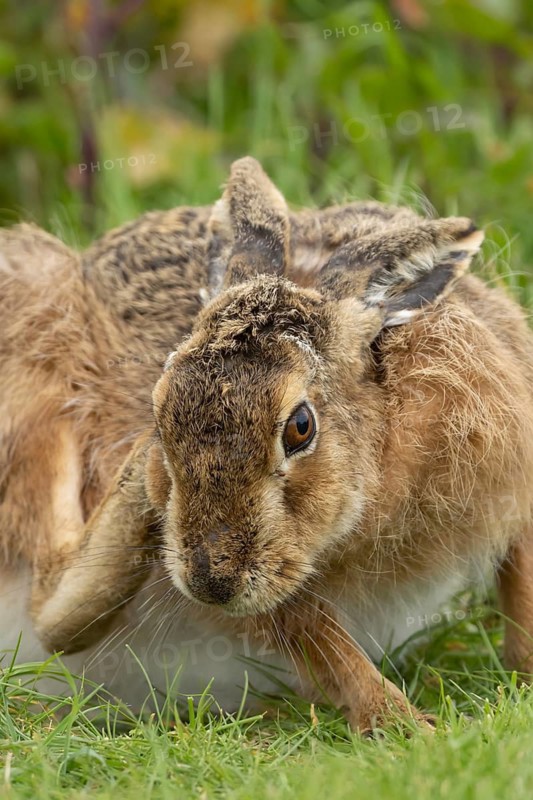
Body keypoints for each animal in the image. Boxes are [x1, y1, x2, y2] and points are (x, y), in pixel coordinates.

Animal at [2, 156, 533, 733]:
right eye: (160, 411)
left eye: (300, 426)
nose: (210, 582)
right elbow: (320, 639)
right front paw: (403, 723)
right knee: (50, 605)